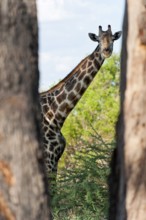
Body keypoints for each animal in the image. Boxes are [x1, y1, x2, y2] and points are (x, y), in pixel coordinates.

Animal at [40, 24, 121, 182]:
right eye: (98, 40)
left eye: (113, 39)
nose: (106, 51)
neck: (56, 115)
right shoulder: (48, 159)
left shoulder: (55, 161)